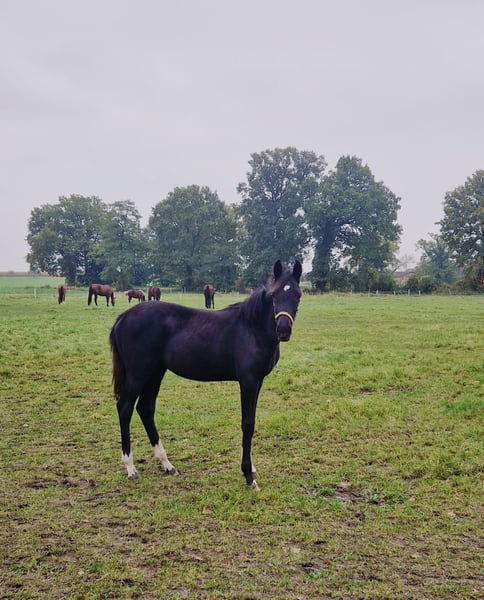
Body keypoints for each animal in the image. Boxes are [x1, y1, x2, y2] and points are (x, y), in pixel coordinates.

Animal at [110, 259, 302, 490]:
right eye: (274, 296)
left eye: (298, 295)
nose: (283, 329)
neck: (251, 327)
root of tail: (123, 317)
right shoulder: (248, 381)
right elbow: (247, 423)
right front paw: (248, 475)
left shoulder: (258, 381)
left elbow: (251, 420)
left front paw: (251, 468)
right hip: (138, 373)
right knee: (125, 408)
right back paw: (130, 467)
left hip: (155, 372)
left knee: (145, 409)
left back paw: (167, 464)